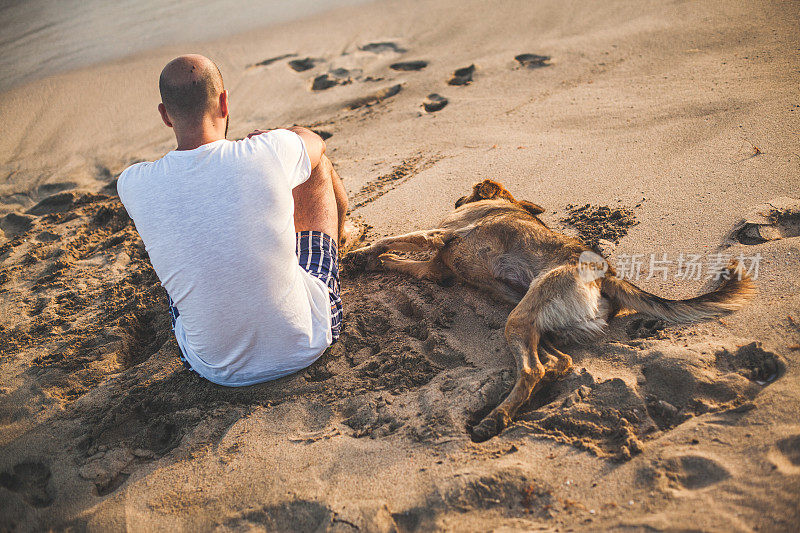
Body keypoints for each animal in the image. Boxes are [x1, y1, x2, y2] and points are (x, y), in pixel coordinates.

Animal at [346, 180, 752, 440]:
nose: (458, 196)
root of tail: (609, 275)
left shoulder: (441, 234)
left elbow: (392, 240)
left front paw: (356, 255)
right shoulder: (436, 269)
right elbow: (395, 259)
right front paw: (367, 262)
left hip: (520, 318)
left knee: (533, 369)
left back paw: (495, 420)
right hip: (534, 319)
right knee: (557, 362)